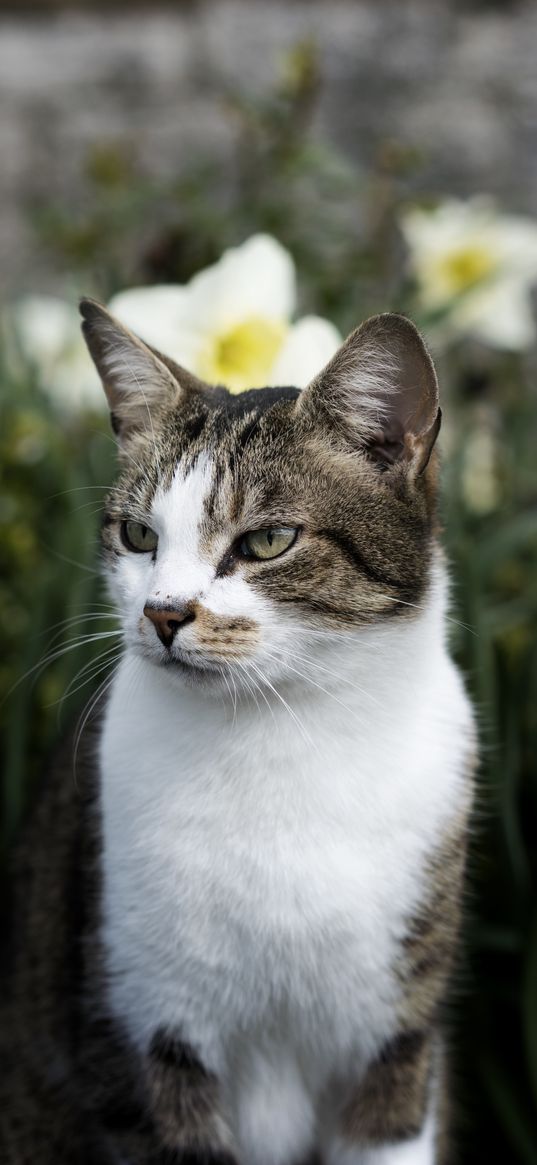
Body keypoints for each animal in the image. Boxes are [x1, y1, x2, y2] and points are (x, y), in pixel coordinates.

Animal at [3, 302, 472, 1165]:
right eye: (138, 536)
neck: (278, 733)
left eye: (266, 541)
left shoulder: (395, 1040)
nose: (161, 612)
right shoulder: (144, 1032)